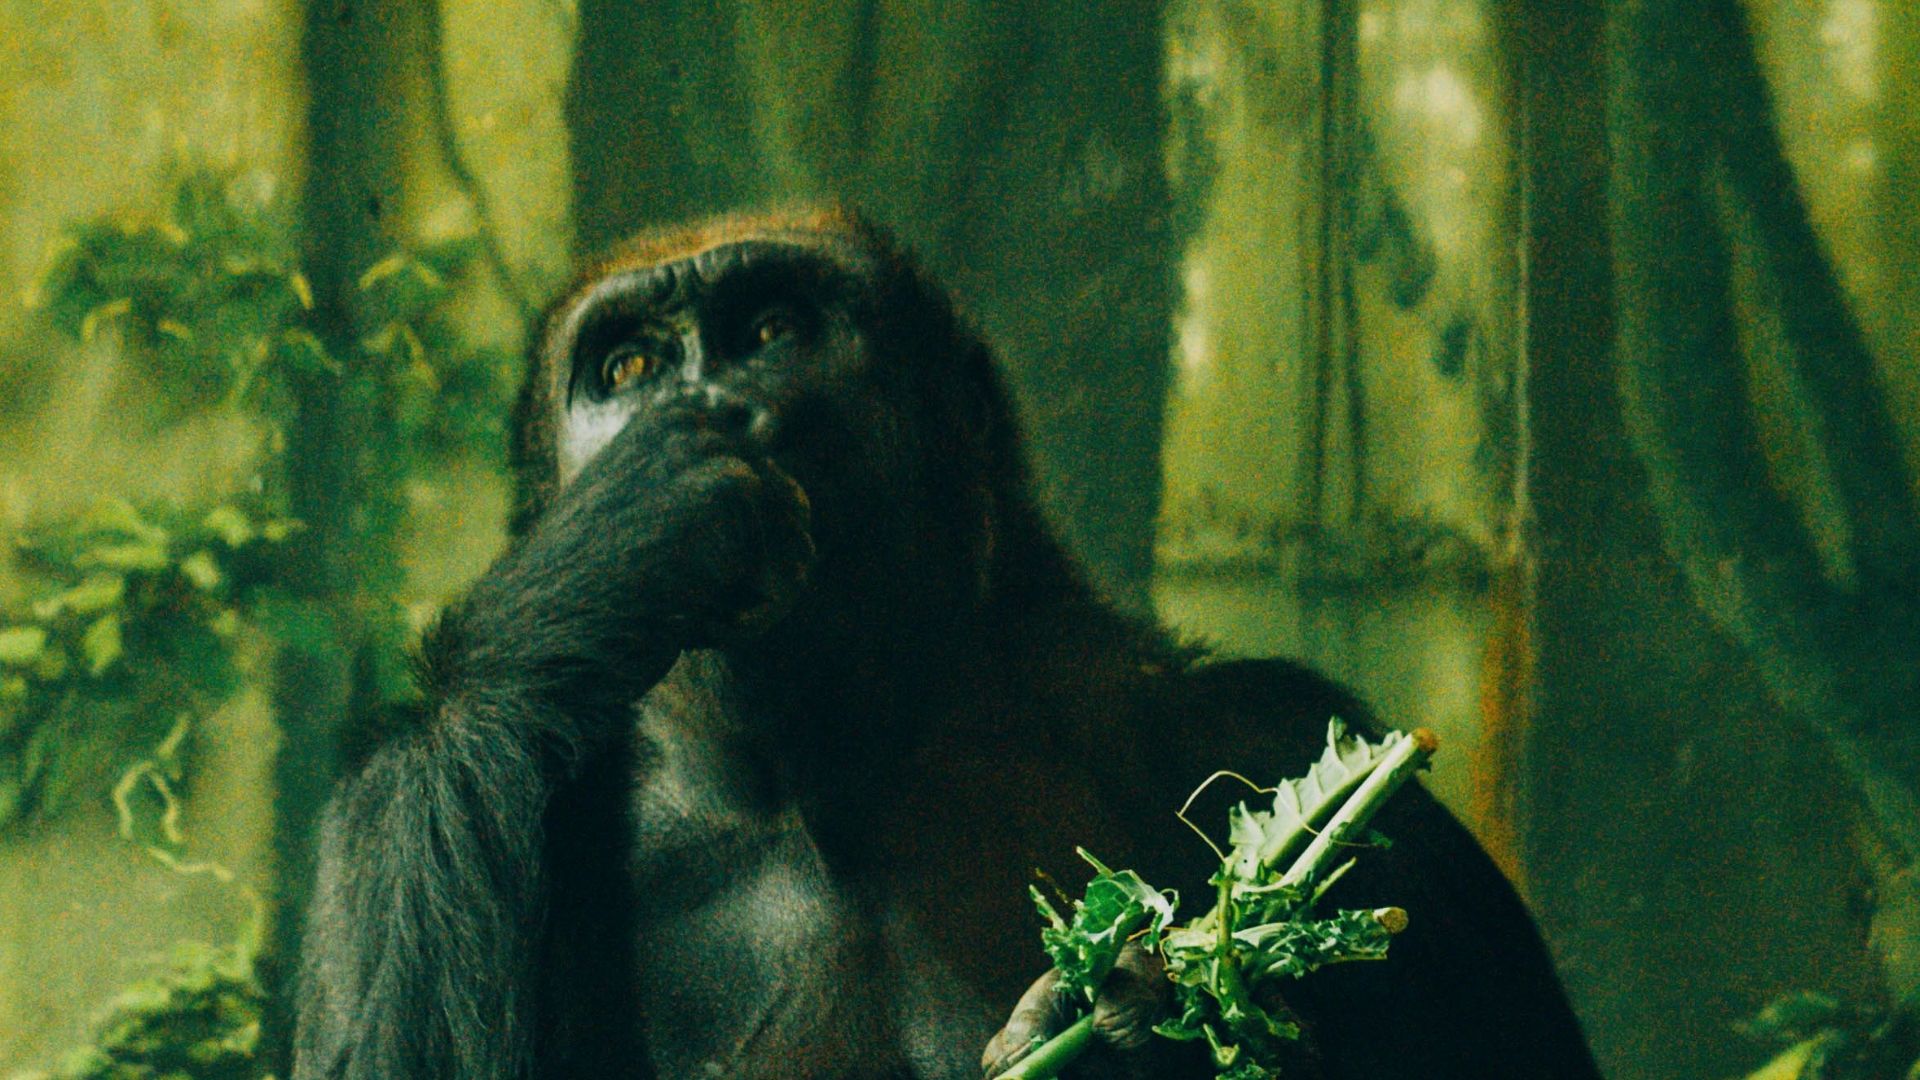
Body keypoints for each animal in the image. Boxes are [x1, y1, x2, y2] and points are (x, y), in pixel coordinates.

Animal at [291, 209, 1601, 1080]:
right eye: (628, 367)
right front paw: (605, 550)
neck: (828, 772)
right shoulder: (413, 825)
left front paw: (1140, 1038)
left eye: (770, 330)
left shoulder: (1265, 730)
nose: (717, 409)